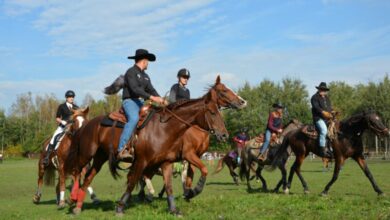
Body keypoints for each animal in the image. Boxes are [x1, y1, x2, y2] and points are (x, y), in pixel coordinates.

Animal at [64, 75, 247, 215]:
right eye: (224, 91)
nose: (243, 101)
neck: (165, 128)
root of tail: (86, 124)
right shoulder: (174, 156)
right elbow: (133, 181)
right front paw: (121, 206)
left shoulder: (168, 161)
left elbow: (178, 181)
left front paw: (181, 201)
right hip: (86, 154)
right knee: (76, 172)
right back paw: (72, 199)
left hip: (100, 158)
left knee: (88, 177)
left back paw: (78, 205)